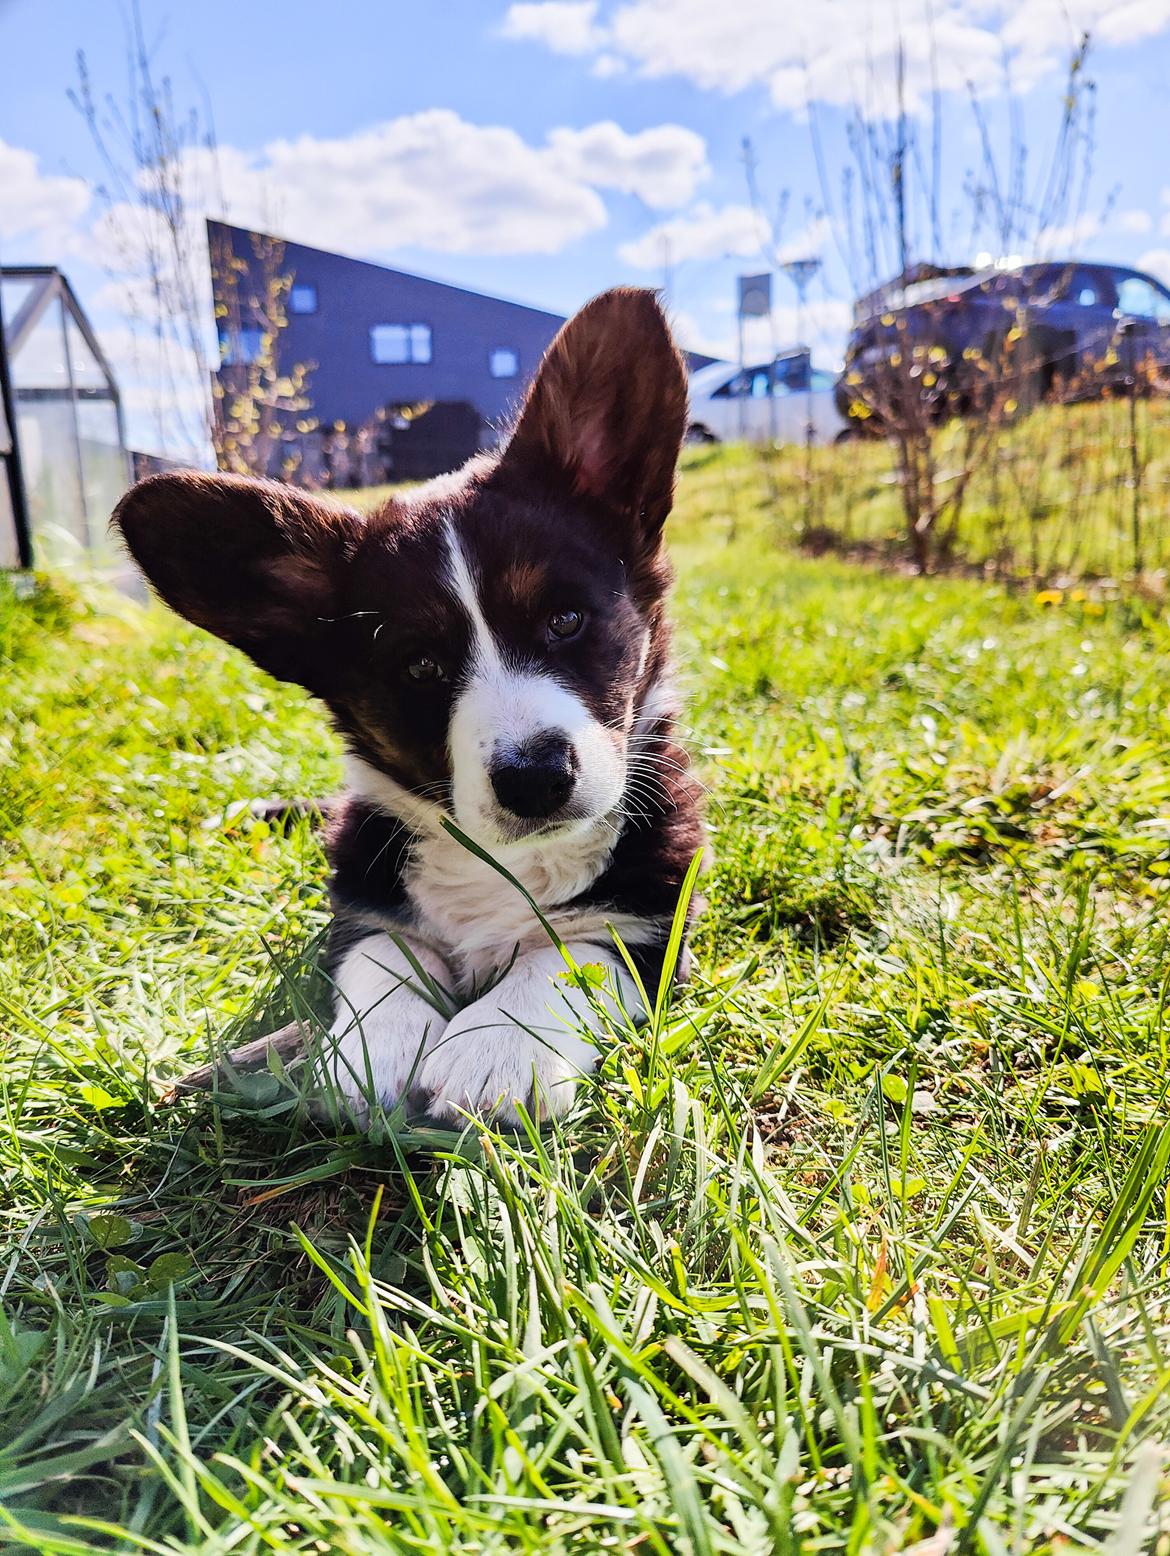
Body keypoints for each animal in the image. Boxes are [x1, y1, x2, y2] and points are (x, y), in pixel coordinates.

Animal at [116, 286, 703, 1126]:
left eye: (565, 621)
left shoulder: (656, 916)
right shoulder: (364, 898)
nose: (535, 778)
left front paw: (499, 1048)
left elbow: (571, 951)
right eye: (421, 666)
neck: (503, 862)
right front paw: (371, 1050)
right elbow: (386, 957)